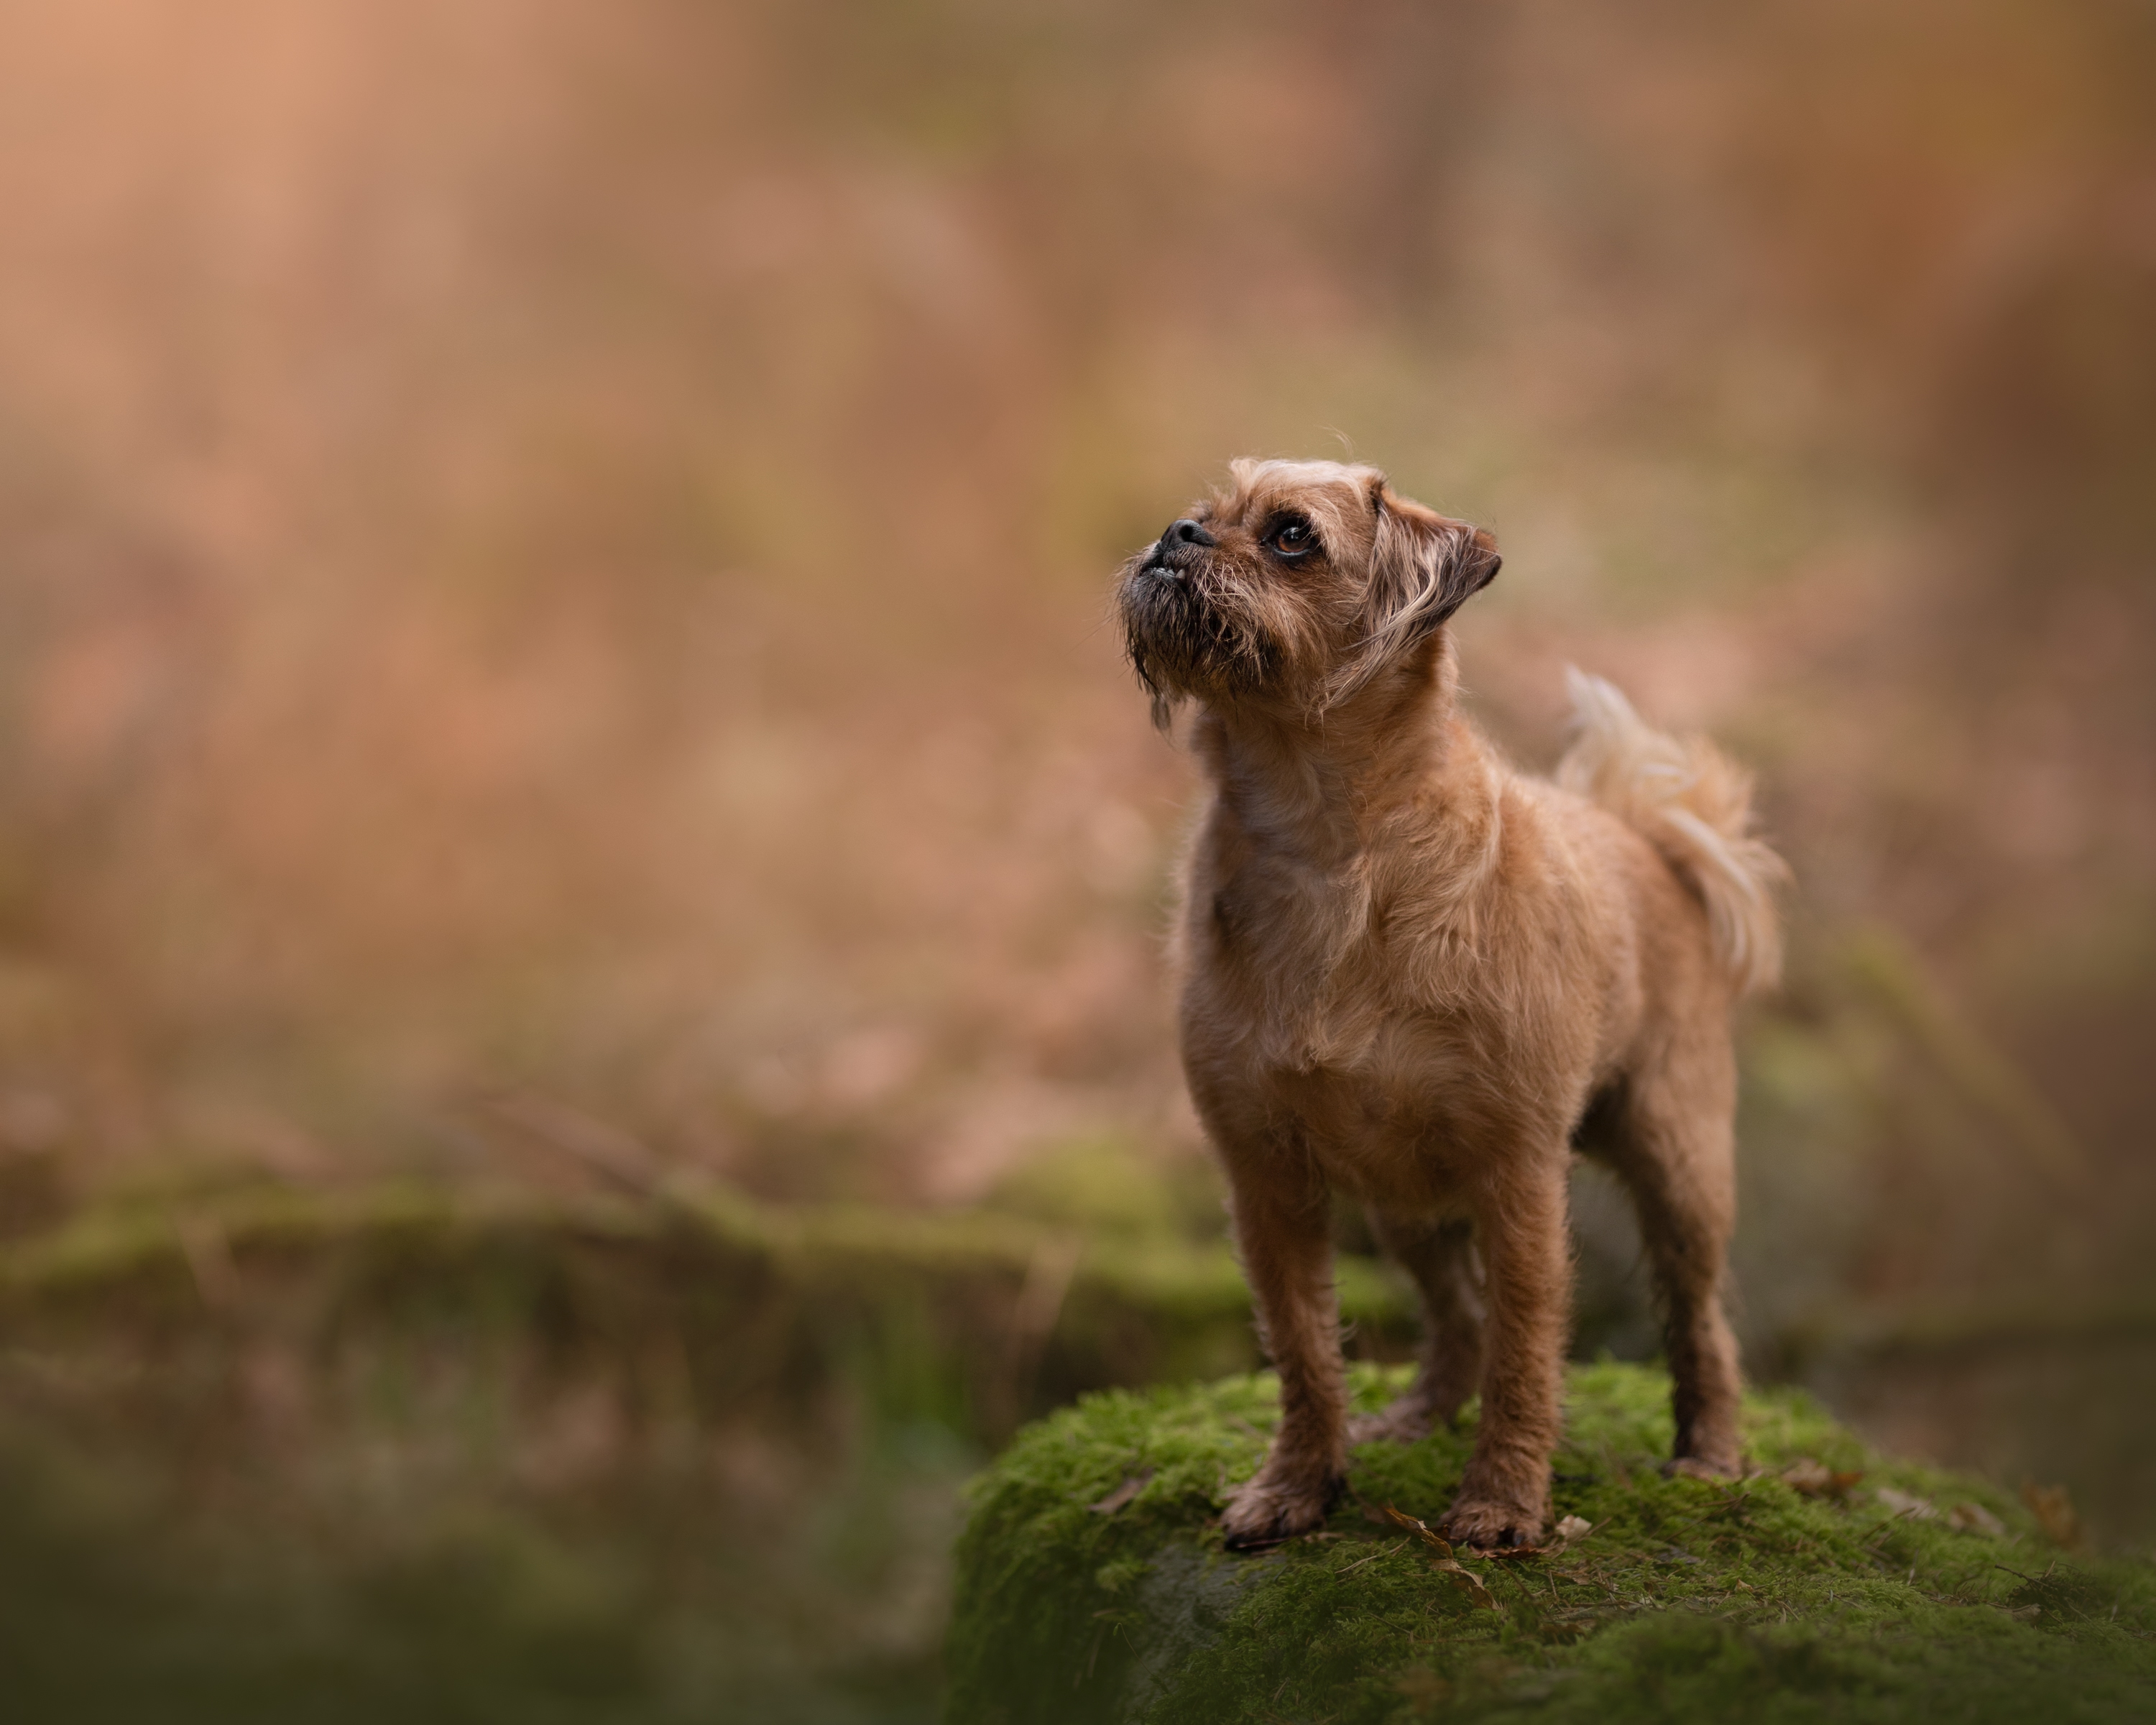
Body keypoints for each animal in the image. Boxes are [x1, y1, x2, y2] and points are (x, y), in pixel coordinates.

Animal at [1112, 455, 1785, 1552]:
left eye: (1292, 537)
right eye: (1206, 513)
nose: (1177, 534)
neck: (1324, 837)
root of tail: (1651, 840)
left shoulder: (1520, 1179)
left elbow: (1526, 1355)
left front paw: (1503, 1505)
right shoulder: (1266, 1183)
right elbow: (1305, 1350)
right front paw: (1298, 1486)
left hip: (1680, 1167)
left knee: (1701, 1321)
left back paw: (1711, 1455)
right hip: (1406, 1206)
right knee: (1456, 1316)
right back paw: (1417, 1416)